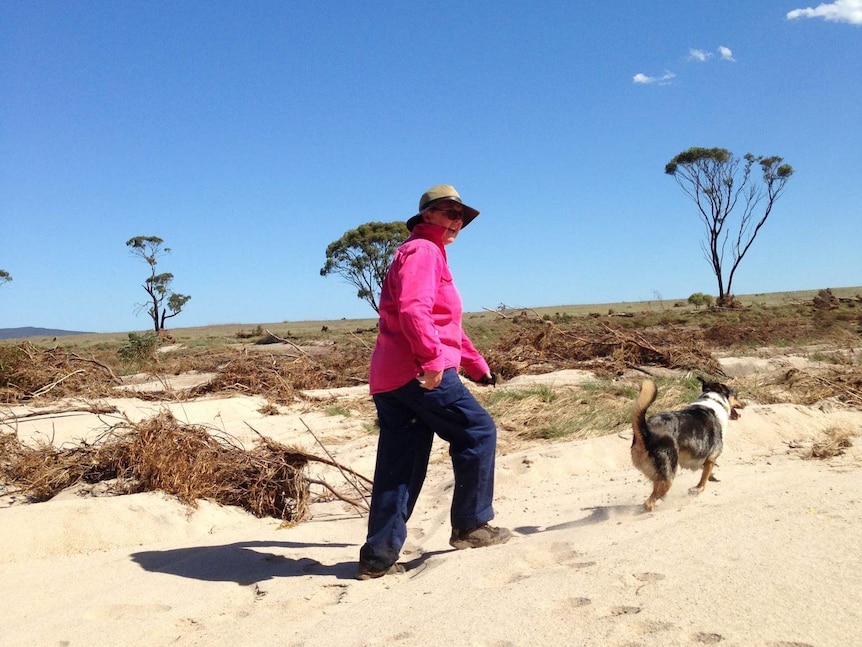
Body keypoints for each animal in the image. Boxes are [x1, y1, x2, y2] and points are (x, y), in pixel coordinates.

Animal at [632, 380, 744, 512]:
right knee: (649, 503)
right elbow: (703, 480)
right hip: (668, 475)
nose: (745, 404)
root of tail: (646, 431)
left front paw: (711, 477)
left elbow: (705, 471)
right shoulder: (711, 457)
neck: (715, 401)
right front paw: (697, 489)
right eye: (735, 395)